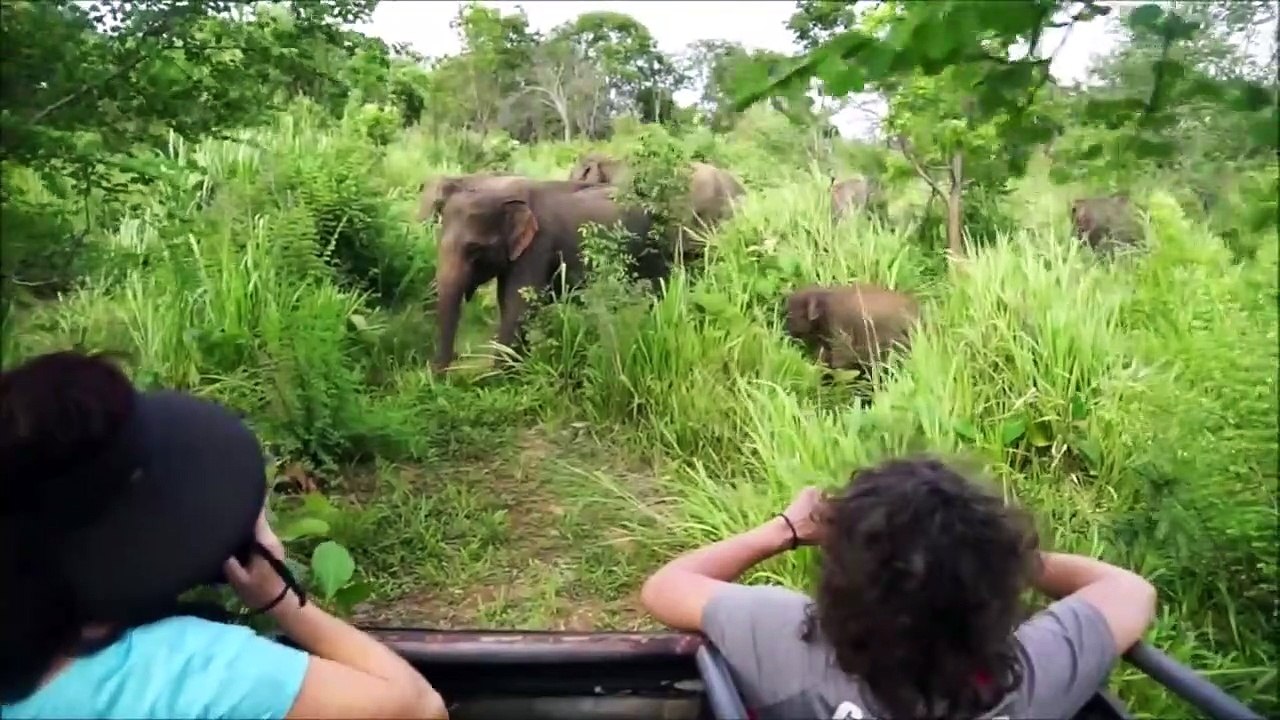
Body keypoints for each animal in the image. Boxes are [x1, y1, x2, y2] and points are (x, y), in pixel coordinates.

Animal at [431, 179, 670, 372]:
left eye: (474, 249)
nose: (442, 376)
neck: (505, 193)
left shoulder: (539, 244)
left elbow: (519, 305)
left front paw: (497, 377)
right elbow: (508, 303)